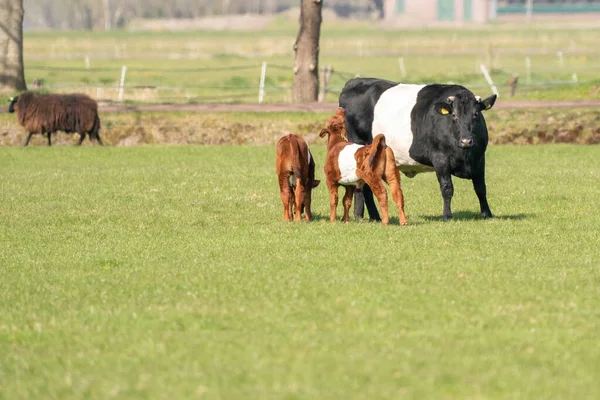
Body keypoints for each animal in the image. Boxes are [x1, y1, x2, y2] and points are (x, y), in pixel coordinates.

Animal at [340, 77, 500, 222]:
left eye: (476, 115)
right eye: (454, 115)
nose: (466, 141)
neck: (464, 154)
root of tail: (354, 81)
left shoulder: (479, 158)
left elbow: (480, 188)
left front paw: (487, 214)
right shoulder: (440, 159)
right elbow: (447, 188)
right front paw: (447, 216)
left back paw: (364, 216)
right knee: (365, 186)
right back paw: (372, 216)